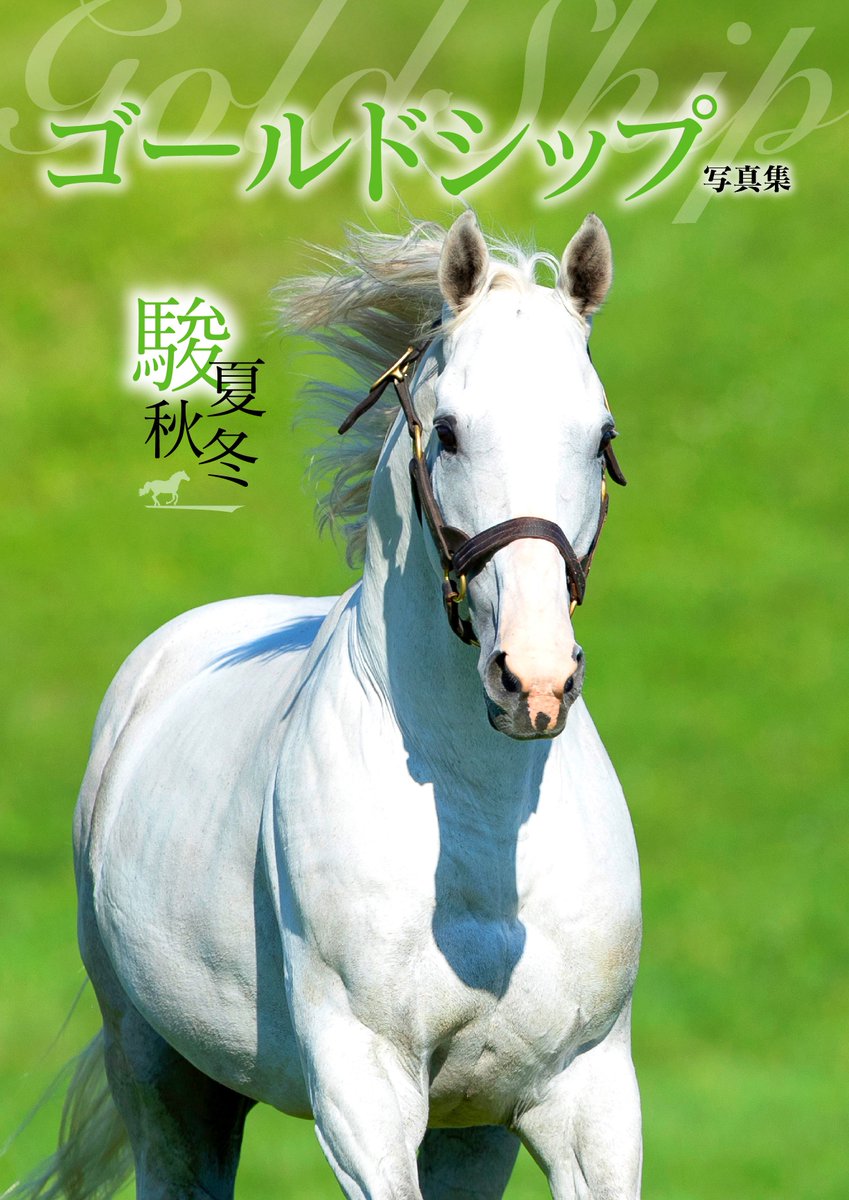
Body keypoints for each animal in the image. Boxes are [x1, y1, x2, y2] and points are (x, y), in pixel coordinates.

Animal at [11, 213, 642, 1200]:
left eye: (599, 436)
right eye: (449, 433)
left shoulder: (584, 1098)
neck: (481, 842)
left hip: (469, 1132)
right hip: (160, 1071)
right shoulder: (364, 1092)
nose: (533, 681)